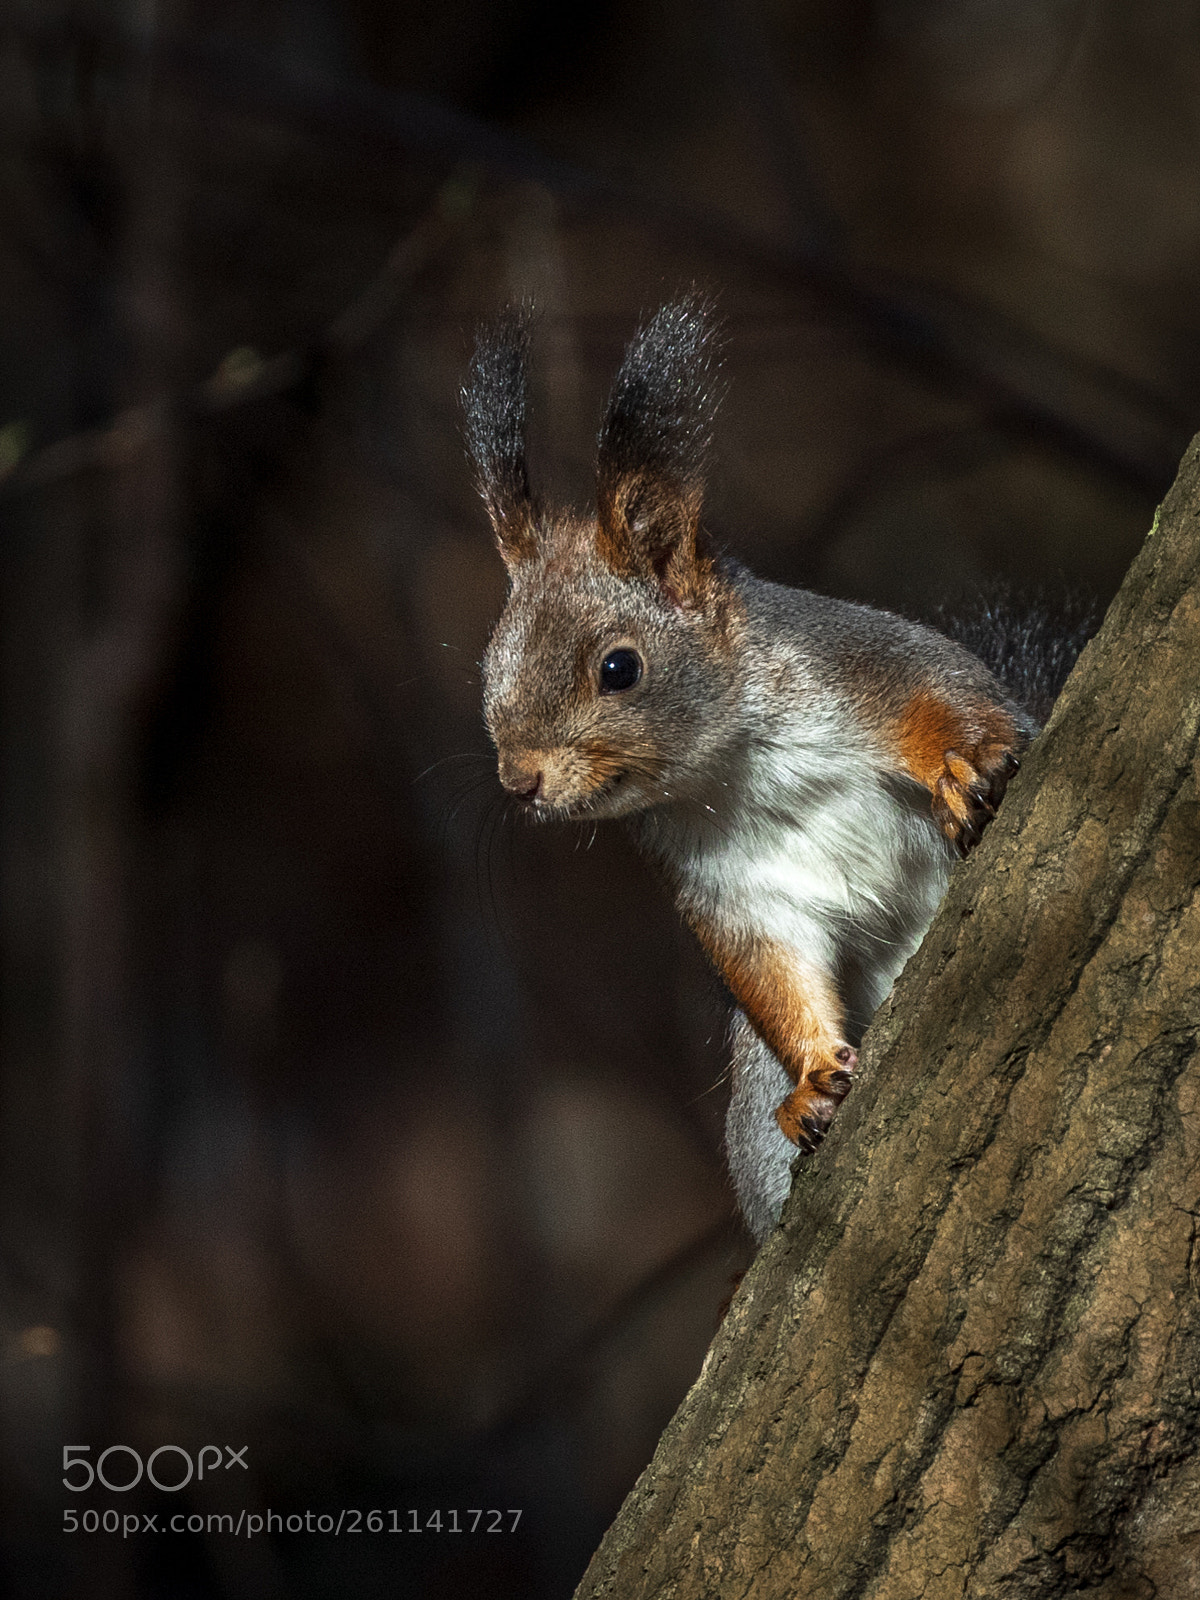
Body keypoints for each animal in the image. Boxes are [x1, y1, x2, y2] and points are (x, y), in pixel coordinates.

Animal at [463, 297, 1048, 1245]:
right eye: (488, 667)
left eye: (619, 668)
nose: (522, 781)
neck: (733, 768)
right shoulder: (730, 882)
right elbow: (771, 968)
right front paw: (814, 1082)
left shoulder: (864, 662)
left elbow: (946, 695)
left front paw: (972, 766)